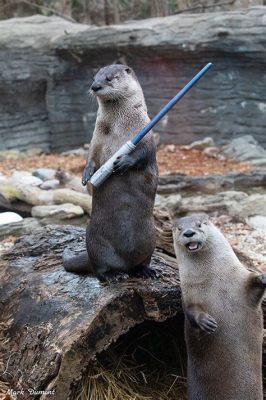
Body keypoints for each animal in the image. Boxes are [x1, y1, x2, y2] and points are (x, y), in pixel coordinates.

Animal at [62, 64, 158, 280]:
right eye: (94, 77)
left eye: (110, 77)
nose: (95, 86)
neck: (118, 129)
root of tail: (126, 263)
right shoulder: (95, 140)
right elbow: (90, 158)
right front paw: (87, 175)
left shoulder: (147, 135)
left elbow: (145, 153)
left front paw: (124, 163)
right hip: (94, 238)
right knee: (99, 267)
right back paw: (113, 274)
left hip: (152, 236)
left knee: (142, 261)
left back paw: (145, 270)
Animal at [172, 214, 266, 398]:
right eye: (179, 228)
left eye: (200, 224)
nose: (188, 232)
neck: (215, 279)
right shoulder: (188, 295)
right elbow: (191, 311)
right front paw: (206, 321)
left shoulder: (241, 281)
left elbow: (253, 284)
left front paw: (263, 277)